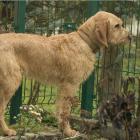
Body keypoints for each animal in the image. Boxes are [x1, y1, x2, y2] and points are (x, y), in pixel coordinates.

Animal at [0, 11, 130, 136]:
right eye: (117, 26)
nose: (130, 36)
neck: (84, 40)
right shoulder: (70, 86)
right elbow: (66, 111)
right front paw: (68, 131)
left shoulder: (62, 88)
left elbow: (59, 110)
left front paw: (62, 129)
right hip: (11, 83)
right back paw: (6, 131)